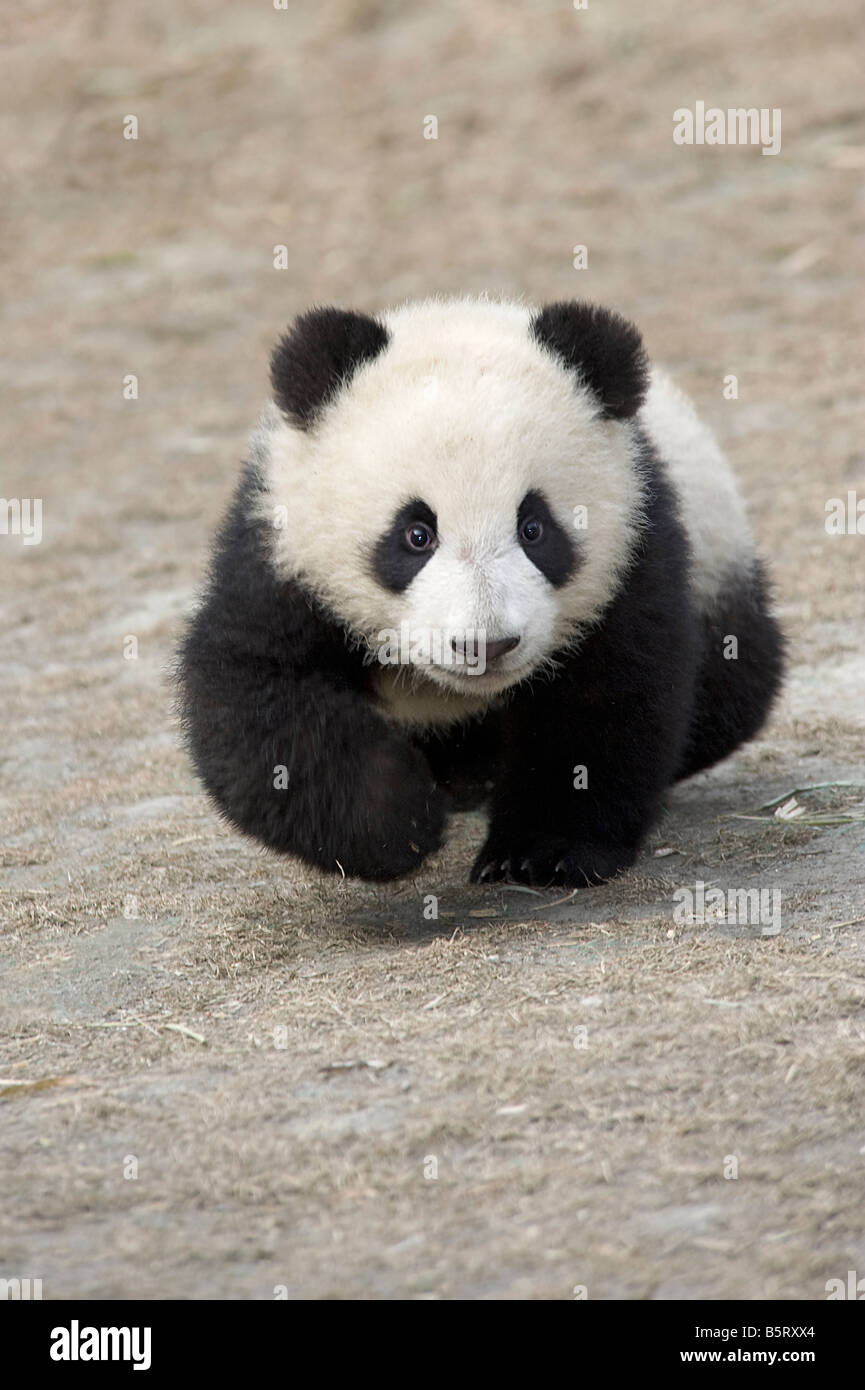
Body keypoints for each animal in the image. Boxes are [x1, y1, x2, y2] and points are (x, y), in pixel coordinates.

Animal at [177, 297, 784, 888]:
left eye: (534, 528)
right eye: (416, 534)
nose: (485, 647)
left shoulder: (636, 550)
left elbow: (609, 700)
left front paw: (542, 852)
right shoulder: (281, 552)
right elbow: (257, 702)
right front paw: (399, 819)